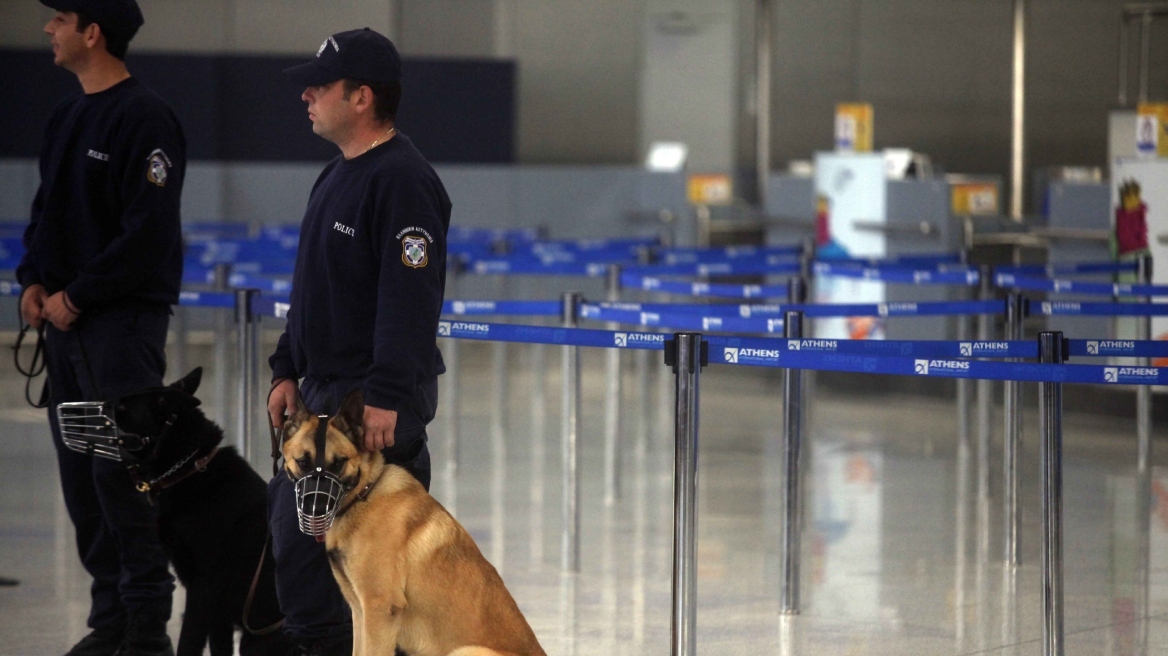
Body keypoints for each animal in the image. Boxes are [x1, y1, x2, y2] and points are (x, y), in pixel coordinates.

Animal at [110, 368, 292, 653]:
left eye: (122, 408)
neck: (190, 467)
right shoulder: (217, 612)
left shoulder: (204, 586)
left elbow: (189, 640)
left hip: (256, 641)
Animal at [280, 387, 544, 653]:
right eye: (303, 462)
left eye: (339, 463)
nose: (316, 509)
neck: (366, 493)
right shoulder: (360, 611)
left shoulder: (379, 609)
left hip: (465, 650)